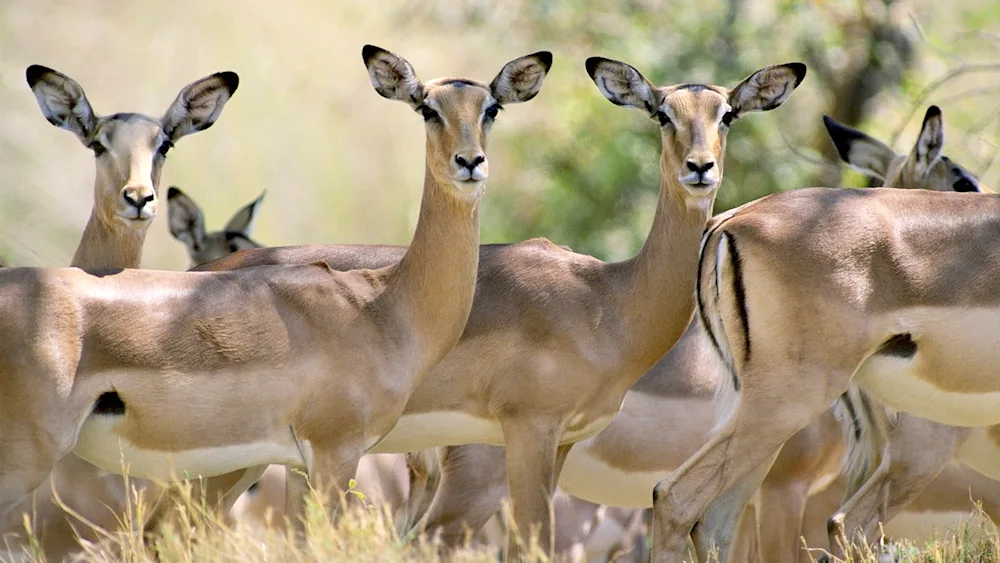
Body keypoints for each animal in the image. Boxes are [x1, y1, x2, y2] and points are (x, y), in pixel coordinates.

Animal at [193, 58, 804, 556]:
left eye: (727, 114)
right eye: (661, 114)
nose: (700, 169)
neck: (605, 299)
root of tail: (204, 272)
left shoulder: (563, 441)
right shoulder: (530, 431)